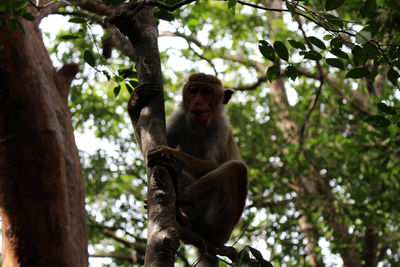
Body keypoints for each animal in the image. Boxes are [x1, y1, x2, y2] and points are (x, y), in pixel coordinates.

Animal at [147, 72, 247, 264]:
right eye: (194, 91)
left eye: (206, 92)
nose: (198, 102)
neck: (199, 126)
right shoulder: (179, 119)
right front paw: (136, 101)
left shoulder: (221, 129)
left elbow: (213, 166)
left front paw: (169, 152)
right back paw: (183, 221)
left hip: (220, 226)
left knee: (237, 169)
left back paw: (182, 192)